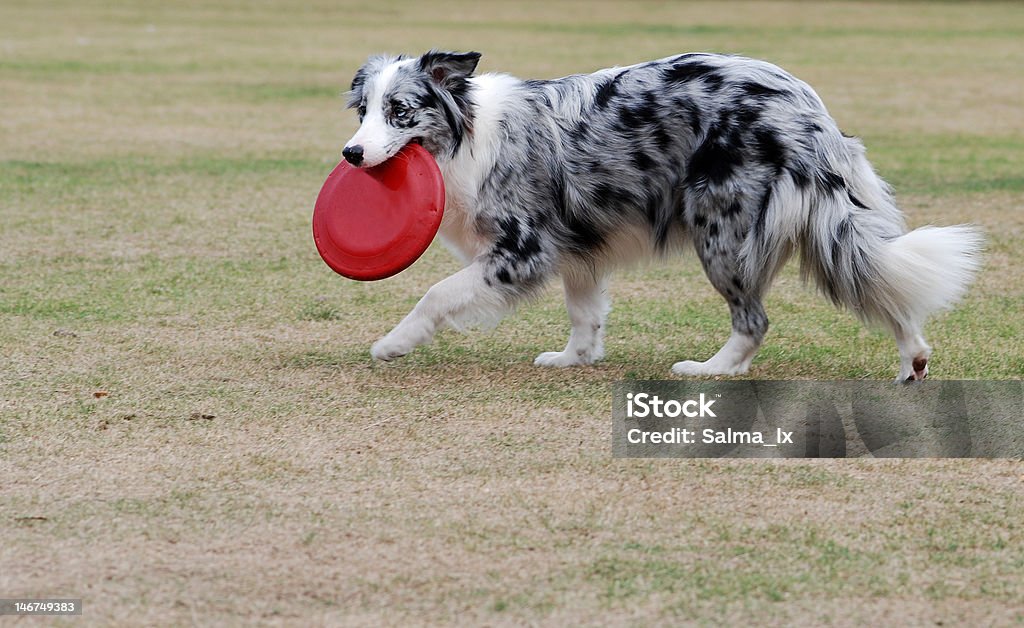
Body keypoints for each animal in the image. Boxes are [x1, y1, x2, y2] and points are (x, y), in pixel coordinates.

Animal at [339, 48, 978, 379]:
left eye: (400, 112)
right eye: (364, 110)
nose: (351, 154)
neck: (466, 135)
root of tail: (806, 109)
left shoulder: (522, 249)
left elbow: (436, 294)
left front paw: (392, 344)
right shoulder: (577, 246)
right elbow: (585, 312)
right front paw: (574, 358)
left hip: (720, 229)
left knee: (754, 319)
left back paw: (710, 369)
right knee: (876, 278)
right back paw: (913, 358)